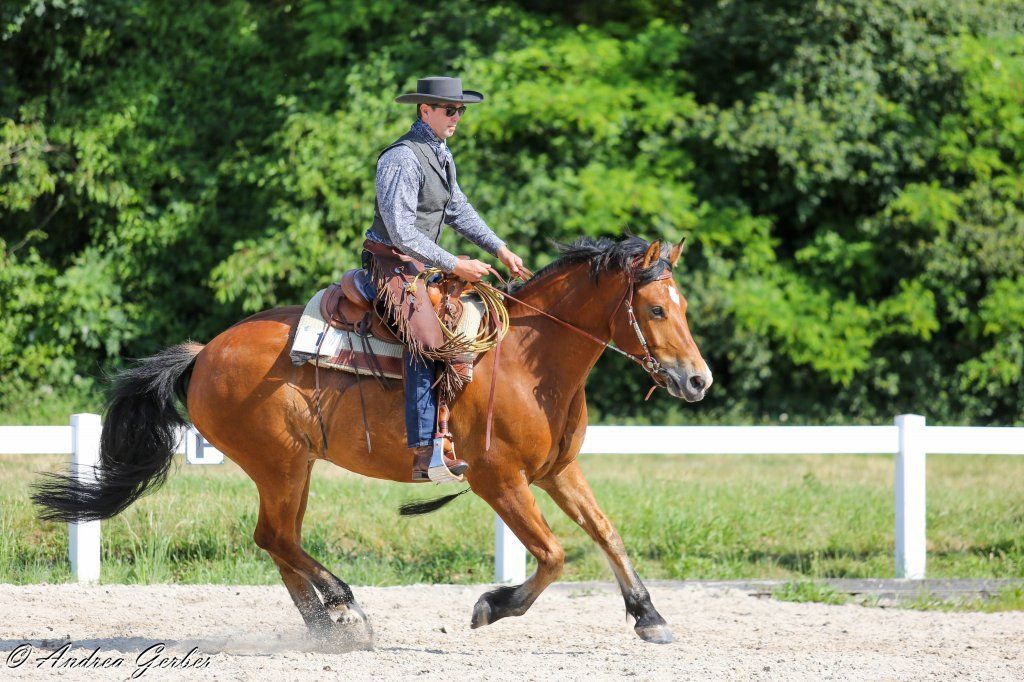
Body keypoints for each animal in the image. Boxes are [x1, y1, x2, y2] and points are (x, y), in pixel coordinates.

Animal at [34, 234, 712, 645]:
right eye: (656, 310)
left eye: (682, 307)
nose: (698, 380)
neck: (523, 359)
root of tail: (205, 353)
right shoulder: (500, 481)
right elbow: (552, 555)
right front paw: (492, 605)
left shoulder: (558, 471)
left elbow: (606, 533)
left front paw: (649, 616)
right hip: (281, 464)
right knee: (277, 537)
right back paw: (344, 606)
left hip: (292, 469)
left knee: (277, 540)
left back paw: (327, 624)